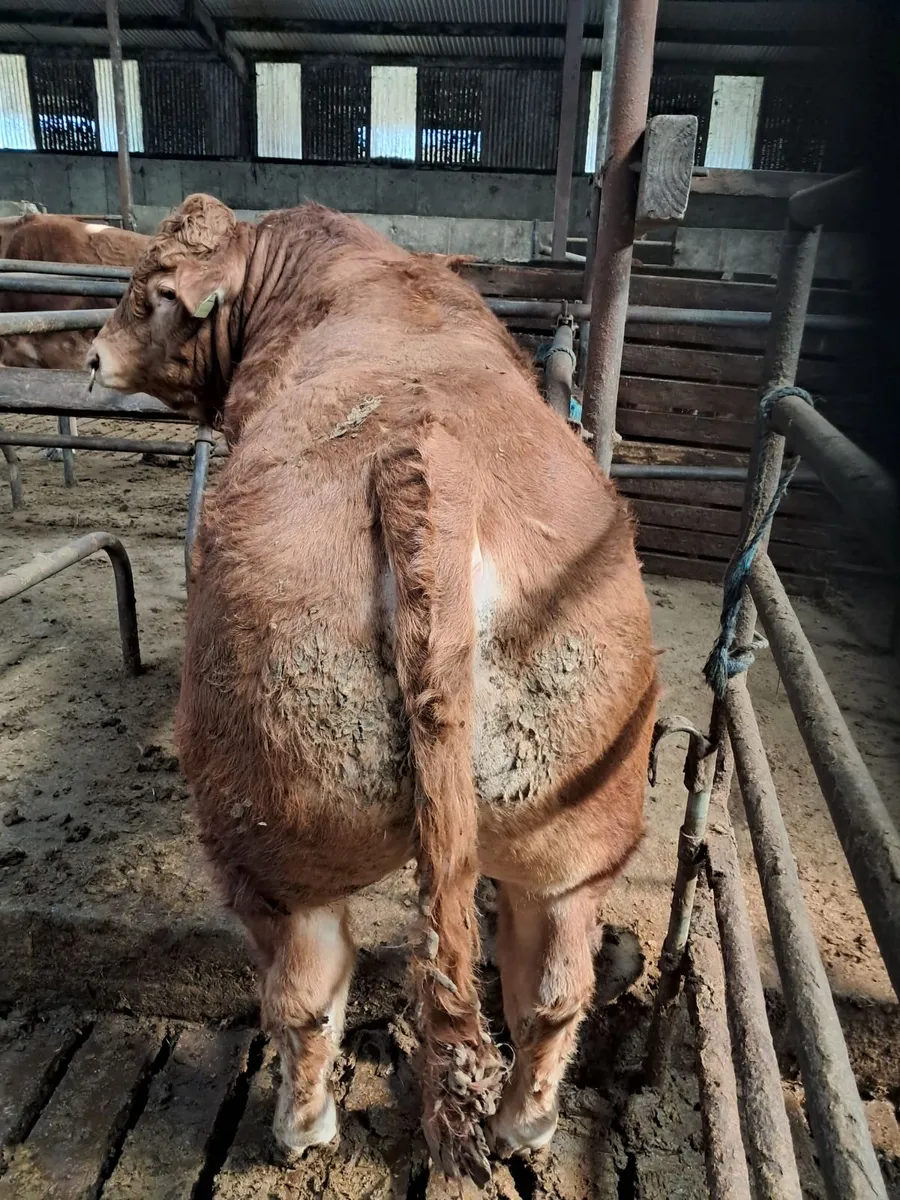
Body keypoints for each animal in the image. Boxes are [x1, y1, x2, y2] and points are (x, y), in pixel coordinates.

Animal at [88, 194, 659, 1184]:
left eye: (146, 288)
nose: (90, 354)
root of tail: (425, 463)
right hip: (577, 822)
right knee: (550, 984)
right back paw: (524, 1128)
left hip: (270, 831)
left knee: (304, 987)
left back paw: (300, 1128)